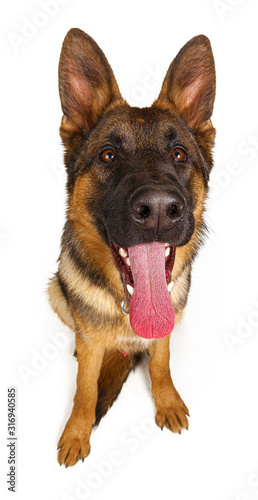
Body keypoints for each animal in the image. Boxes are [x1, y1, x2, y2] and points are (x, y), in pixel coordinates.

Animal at [48, 29, 216, 466]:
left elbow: (161, 364)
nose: (158, 209)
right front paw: (77, 432)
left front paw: (166, 400)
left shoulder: (165, 335)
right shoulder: (91, 345)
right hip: (55, 292)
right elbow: (85, 388)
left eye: (179, 154)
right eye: (108, 155)